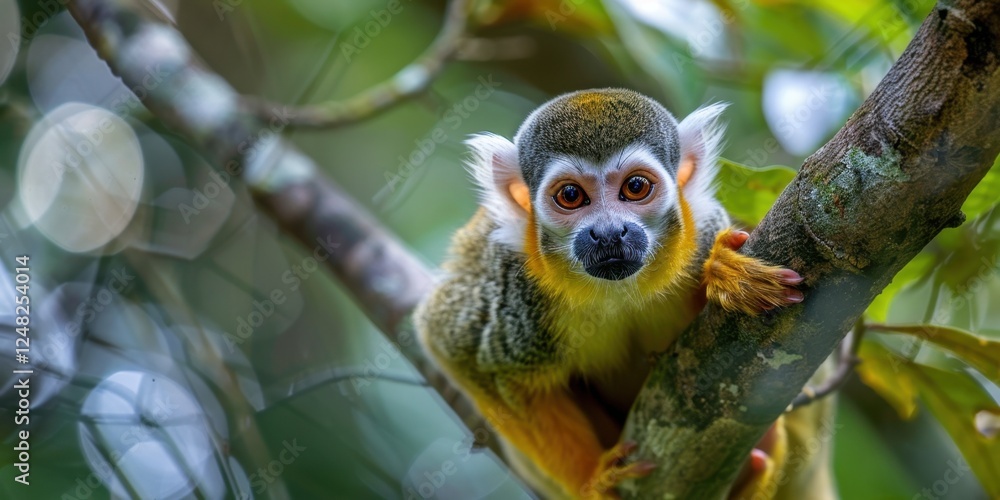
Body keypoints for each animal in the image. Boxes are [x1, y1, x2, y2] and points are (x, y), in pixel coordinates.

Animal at [415, 88, 837, 499]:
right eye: (570, 195)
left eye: (635, 187)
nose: (608, 232)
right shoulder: (515, 291)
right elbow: (461, 352)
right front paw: (593, 483)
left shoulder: (700, 231)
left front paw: (723, 271)